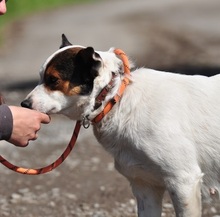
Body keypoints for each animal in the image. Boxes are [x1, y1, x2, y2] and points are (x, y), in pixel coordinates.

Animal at [21, 34, 220, 215]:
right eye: (40, 77)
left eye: (53, 80)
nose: (24, 105)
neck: (116, 98)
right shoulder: (145, 187)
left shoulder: (183, 181)